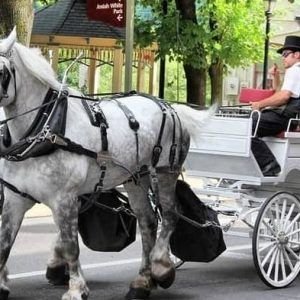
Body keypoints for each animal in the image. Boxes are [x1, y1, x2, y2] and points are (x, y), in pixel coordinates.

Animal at [0, 28, 213, 300]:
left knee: (170, 215)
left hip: (165, 172)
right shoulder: (15, 198)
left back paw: (161, 267)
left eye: (1, 72)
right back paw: (142, 282)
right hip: (136, 178)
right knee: (148, 222)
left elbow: (71, 245)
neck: (45, 128)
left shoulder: (64, 198)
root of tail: (170, 106)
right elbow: (4, 244)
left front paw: (76, 288)